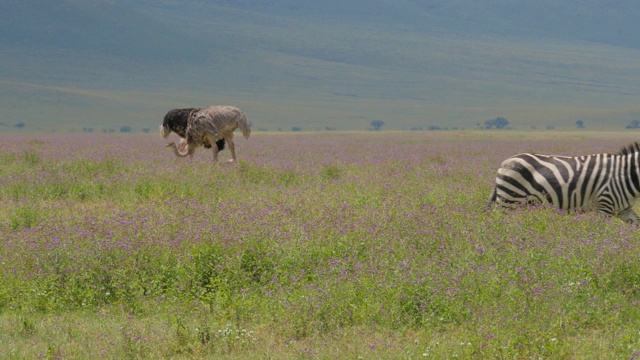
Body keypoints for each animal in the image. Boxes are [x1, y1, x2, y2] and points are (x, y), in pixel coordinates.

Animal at [484, 142, 640, 224]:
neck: (625, 175)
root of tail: (505, 162)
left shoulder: (625, 209)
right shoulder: (604, 205)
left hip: (520, 202)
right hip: (509, 200)